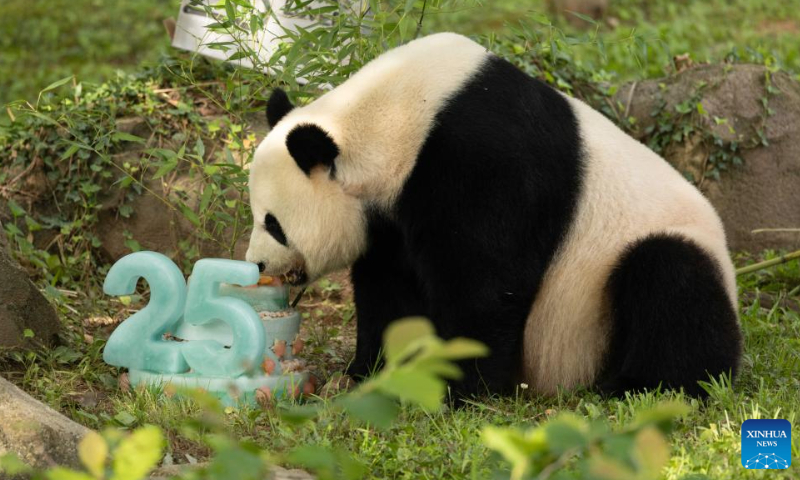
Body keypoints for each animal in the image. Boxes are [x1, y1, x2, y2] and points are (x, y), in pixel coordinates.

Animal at [245, 31, 744, 398]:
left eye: (273, 223)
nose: (257, 263)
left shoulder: (484, 161)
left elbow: (486, 283)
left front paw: (456, 386)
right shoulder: (390, 215)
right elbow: (388, 288)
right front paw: (373, 369)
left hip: (625, 275)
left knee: (672, 283)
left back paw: (640, 386)